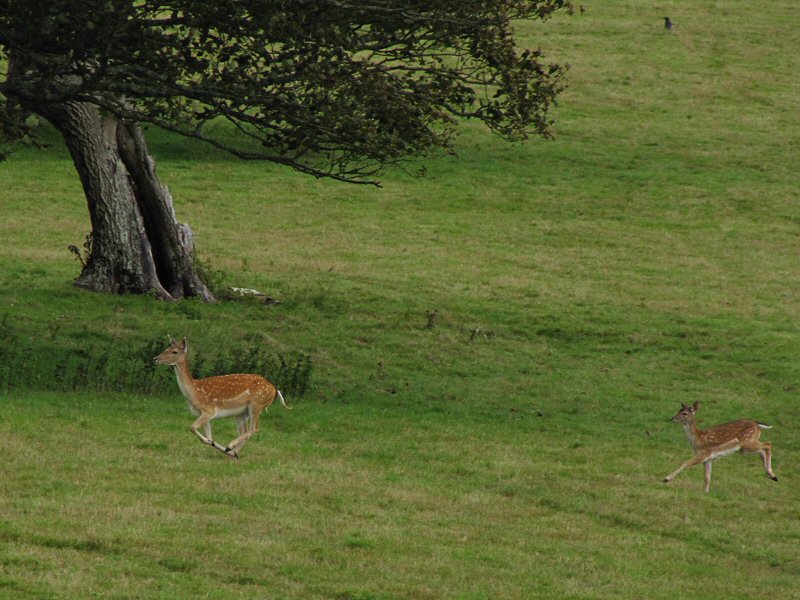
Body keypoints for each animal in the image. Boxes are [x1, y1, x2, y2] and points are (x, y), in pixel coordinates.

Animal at [154, 336, 290, 458]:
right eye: (166, 348)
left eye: (174, 351)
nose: (156, 358)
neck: (195, 392)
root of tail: (274, 390)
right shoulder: (203, 414)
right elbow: (207, 437)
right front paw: (213, 443)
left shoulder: (209, 410)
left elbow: (192, 427)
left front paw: (220, 445)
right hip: (241, 413)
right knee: (245, 431)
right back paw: (233, 453)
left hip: (257, 404)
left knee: (254, 428)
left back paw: (230, 446)